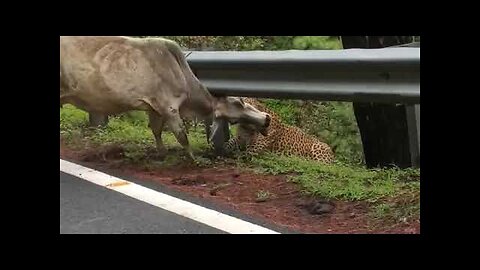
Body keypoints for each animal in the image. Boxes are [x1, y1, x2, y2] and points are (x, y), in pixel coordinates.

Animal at [60, 36, 270, 161]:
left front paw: (161, 154)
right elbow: (182, 136)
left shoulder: (154, 108)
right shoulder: (169, 107)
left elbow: (156, 131)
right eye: (239, 102)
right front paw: (194, 159)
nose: (267, 118)